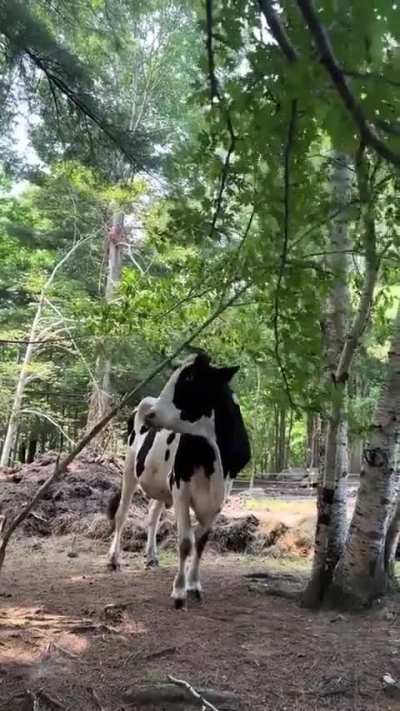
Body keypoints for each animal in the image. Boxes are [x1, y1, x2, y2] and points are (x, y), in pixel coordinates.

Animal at [107, 351, 251, 608]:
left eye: (190, 379)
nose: (151, 414)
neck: (214, 456)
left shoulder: (220, 496)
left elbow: (201, 542)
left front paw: (194, 585)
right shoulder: (181, 488)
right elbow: (186, 541)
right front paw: (179, 591)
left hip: (160, 484)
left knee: (152, 515)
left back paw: (151, 557)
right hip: (130, 468)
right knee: (121, 514)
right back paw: (114, 559)